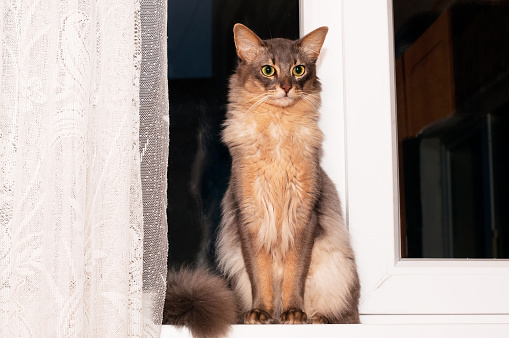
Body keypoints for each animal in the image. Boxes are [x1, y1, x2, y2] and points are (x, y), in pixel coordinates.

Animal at [165, 23, 360, 336]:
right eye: (268, 70)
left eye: (298, 70)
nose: (286, 87)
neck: (277, 131)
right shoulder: (249, 215)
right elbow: (260, 274)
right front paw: (260, 312)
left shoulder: (304, 216)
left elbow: (295, 274)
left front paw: (294, 313)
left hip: (337, 268)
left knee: (347, 316)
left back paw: (317, 318)